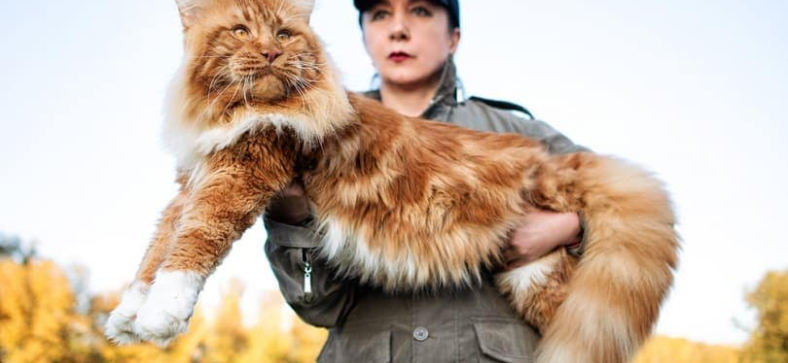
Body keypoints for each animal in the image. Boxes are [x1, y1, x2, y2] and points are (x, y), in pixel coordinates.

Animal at [104, 0, 680, 363]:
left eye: (284, 34)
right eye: (241, 31)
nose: (270, 53)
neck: (234, 109)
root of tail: (549, 159)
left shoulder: (241, 170)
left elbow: (192, 246)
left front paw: (160, 316)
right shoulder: (192, 180)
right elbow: (156, 249)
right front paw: (128, 314)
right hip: (534, 280)